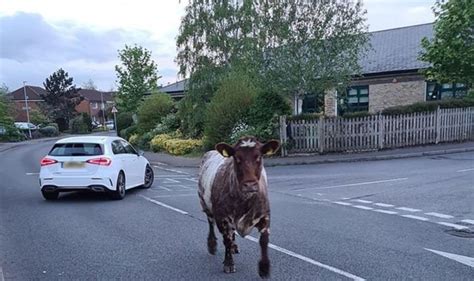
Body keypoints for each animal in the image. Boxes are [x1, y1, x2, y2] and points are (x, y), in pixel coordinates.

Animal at [198, 136, 280, 278]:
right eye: (237, 158)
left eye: (258, 157)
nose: (250, 185)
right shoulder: (223, 218)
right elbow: (226, 239)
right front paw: (228, 263)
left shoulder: (264, 215)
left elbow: (264, 240)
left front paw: (264, 267)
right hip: (205, 203)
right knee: (211, 223)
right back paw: (212, 244)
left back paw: (234, 247)